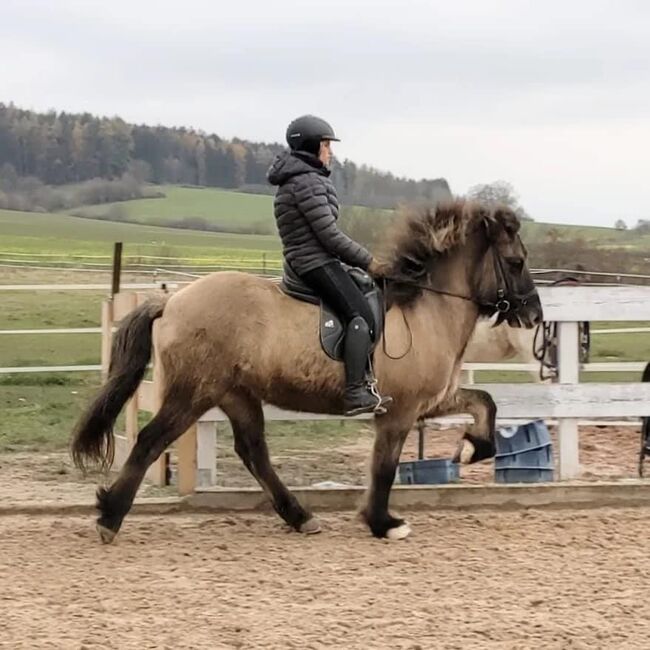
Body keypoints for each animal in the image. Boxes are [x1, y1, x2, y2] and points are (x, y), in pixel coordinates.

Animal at [71, 199, 540, 540]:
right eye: (516, 261)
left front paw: (471, 449)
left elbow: (485, 403)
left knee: (253, 452)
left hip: (235, 395)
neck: (425, 308)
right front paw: (383, 523)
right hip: (193, 393)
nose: (533, 314)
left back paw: (299, 516)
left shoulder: (429, 401)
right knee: (151, 441)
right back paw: (109, 518)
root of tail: (172, 300)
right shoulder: (400, 412)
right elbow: (384, 467)